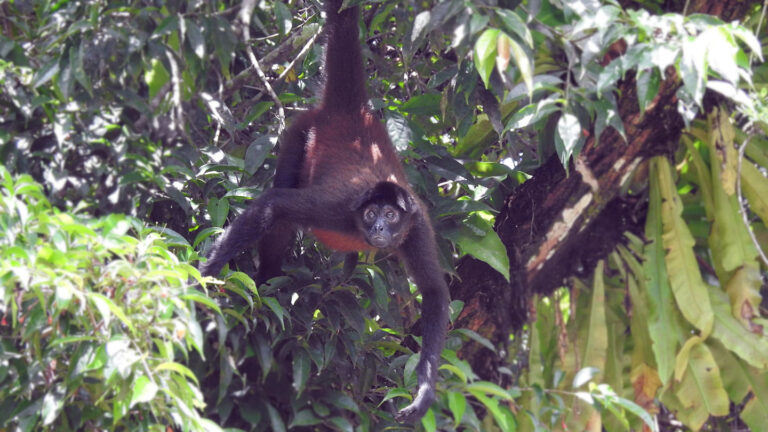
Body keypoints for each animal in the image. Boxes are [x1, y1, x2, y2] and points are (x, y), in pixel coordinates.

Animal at [200, 0, 450, 422]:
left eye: (391, 216)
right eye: (370, 214)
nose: (379, 230)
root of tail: (353, 112)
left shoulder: (417, 226)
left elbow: (434, 292)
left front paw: (425, 392)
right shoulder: (341, 208)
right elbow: (274, 205)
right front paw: (200, 278)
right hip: (301, 131)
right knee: (281, 212)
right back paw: (266, 282)